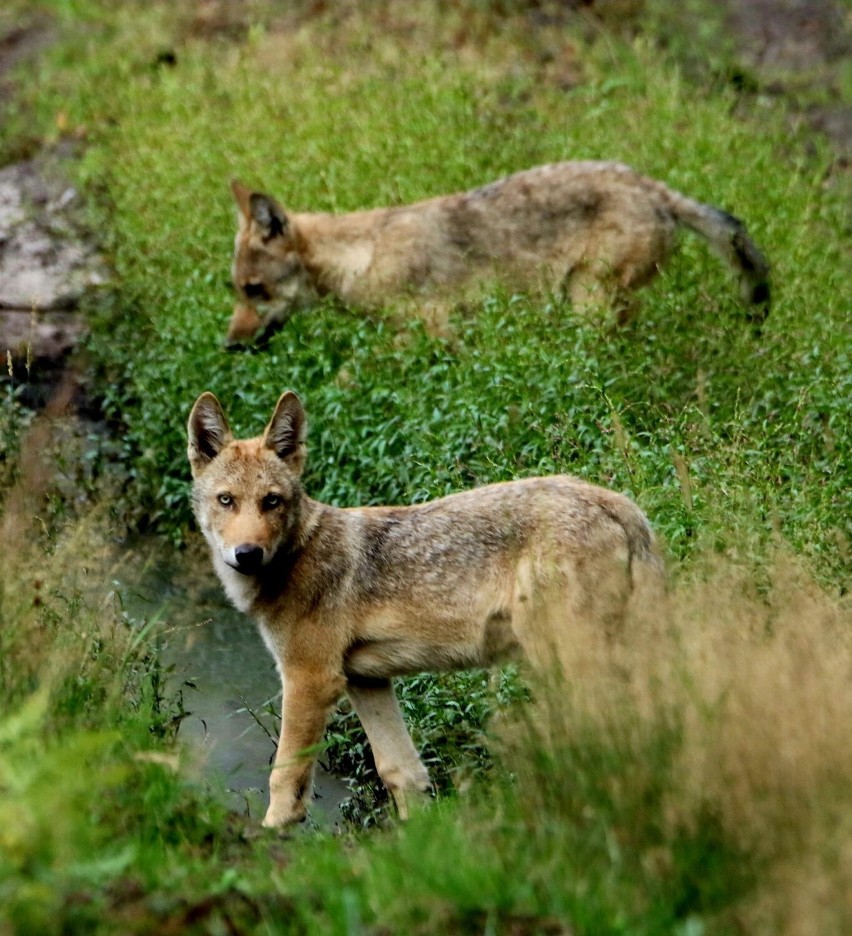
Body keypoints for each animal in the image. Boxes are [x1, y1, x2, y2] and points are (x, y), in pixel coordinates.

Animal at [186, 388, 664, 828]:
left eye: (271, 501)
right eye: (226, 500)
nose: (248, 554)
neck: (298, 556)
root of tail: (619, 503)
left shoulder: (310, 679)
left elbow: (284, 779)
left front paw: (272, 835)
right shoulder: (365, 680)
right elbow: (402, 773)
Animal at [228, 161, 772, 348]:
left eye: (256, 290)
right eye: (237, 291)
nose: (229, 345)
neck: (362, 257)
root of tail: (657, 189)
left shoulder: (433, 331)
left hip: (587, 298)